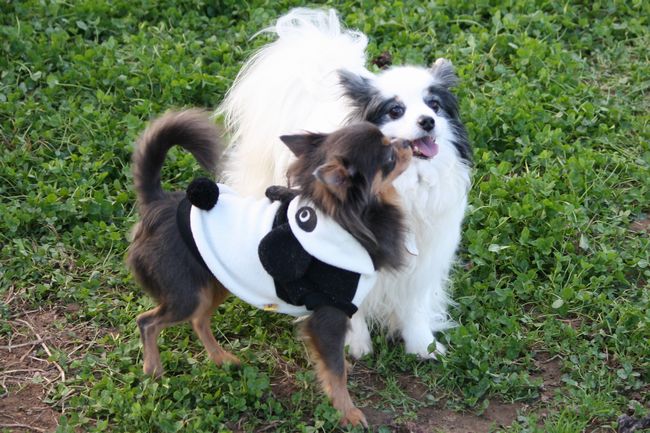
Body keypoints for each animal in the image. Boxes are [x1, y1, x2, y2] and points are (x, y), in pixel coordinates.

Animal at [127, 109, 411, 426]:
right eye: (389, 155)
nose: (408, 143)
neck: (346, 220)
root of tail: (157, 204)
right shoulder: (329, 316)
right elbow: (336, 371)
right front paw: (347, 412)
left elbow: (335, 365)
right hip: (188, 296)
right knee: (148, 322)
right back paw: (153, 370)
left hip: (215, 283)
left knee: (199, 321)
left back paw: (221, 359)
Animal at [219, 8, 472, 359]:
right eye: (396, 110)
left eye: (434, 105)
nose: (428, 121)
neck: (404, 184)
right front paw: (354, 344)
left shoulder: (424, 257)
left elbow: (414, 305)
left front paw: (423, 345)